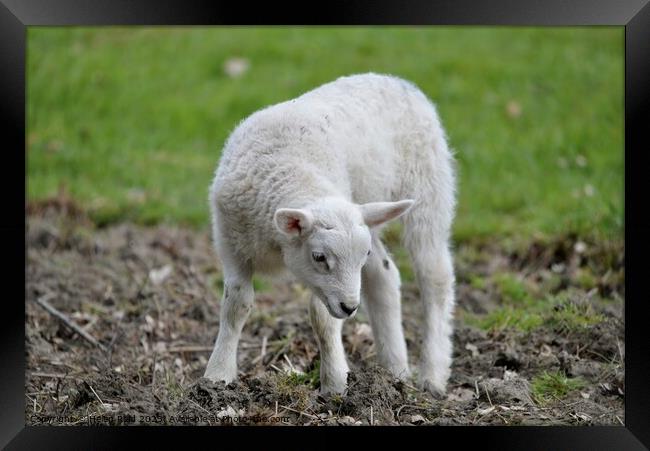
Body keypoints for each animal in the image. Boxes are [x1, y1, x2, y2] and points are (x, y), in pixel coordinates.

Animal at [204, 72, 456, 398]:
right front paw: (217, 376)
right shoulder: (230, 244)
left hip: (429, 185)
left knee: (434, 276)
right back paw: (394, 370)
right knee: (384, 276)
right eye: (319, 257)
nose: (350, 308)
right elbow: (236, 305)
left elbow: (322, 318)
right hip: (366, 210)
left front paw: (335, 383)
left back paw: (433, 374)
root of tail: (396, 80)